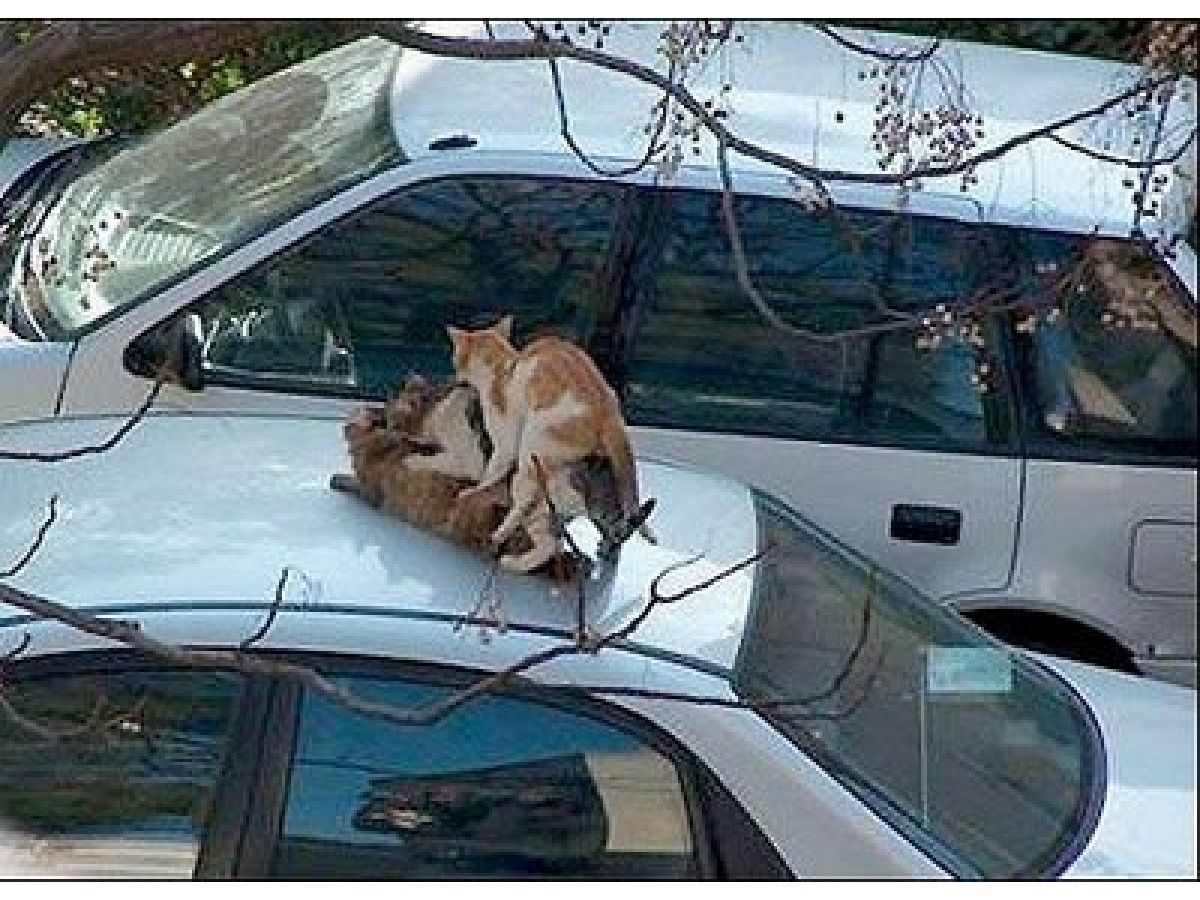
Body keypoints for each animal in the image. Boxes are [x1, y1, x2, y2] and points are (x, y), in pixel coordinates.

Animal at [445, 315, 654, 567]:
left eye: (455, 357)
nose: (456, 373)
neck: (502, 365)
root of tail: (610, 415)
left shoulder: (506, 444)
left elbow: (490, 473)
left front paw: (474, 488)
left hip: (530, 451)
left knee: (529, 516)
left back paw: (502, 539)